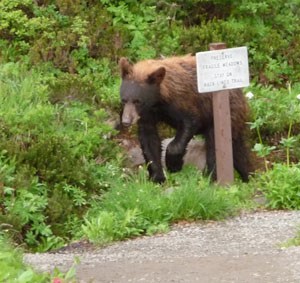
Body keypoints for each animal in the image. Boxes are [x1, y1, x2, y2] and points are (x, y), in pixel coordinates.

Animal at [119, 55, 253, 184]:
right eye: (124, 100)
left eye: (137, 101)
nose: (125, 121)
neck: (158, 101)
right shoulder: (147, 114)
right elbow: (149, 140)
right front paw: (157, 177)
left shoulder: (184, 102)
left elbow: (190, 122)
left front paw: (173, 164)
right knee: (238, 150)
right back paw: (247, 176)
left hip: (225, 116)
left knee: (215, 146)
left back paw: (212, 177)